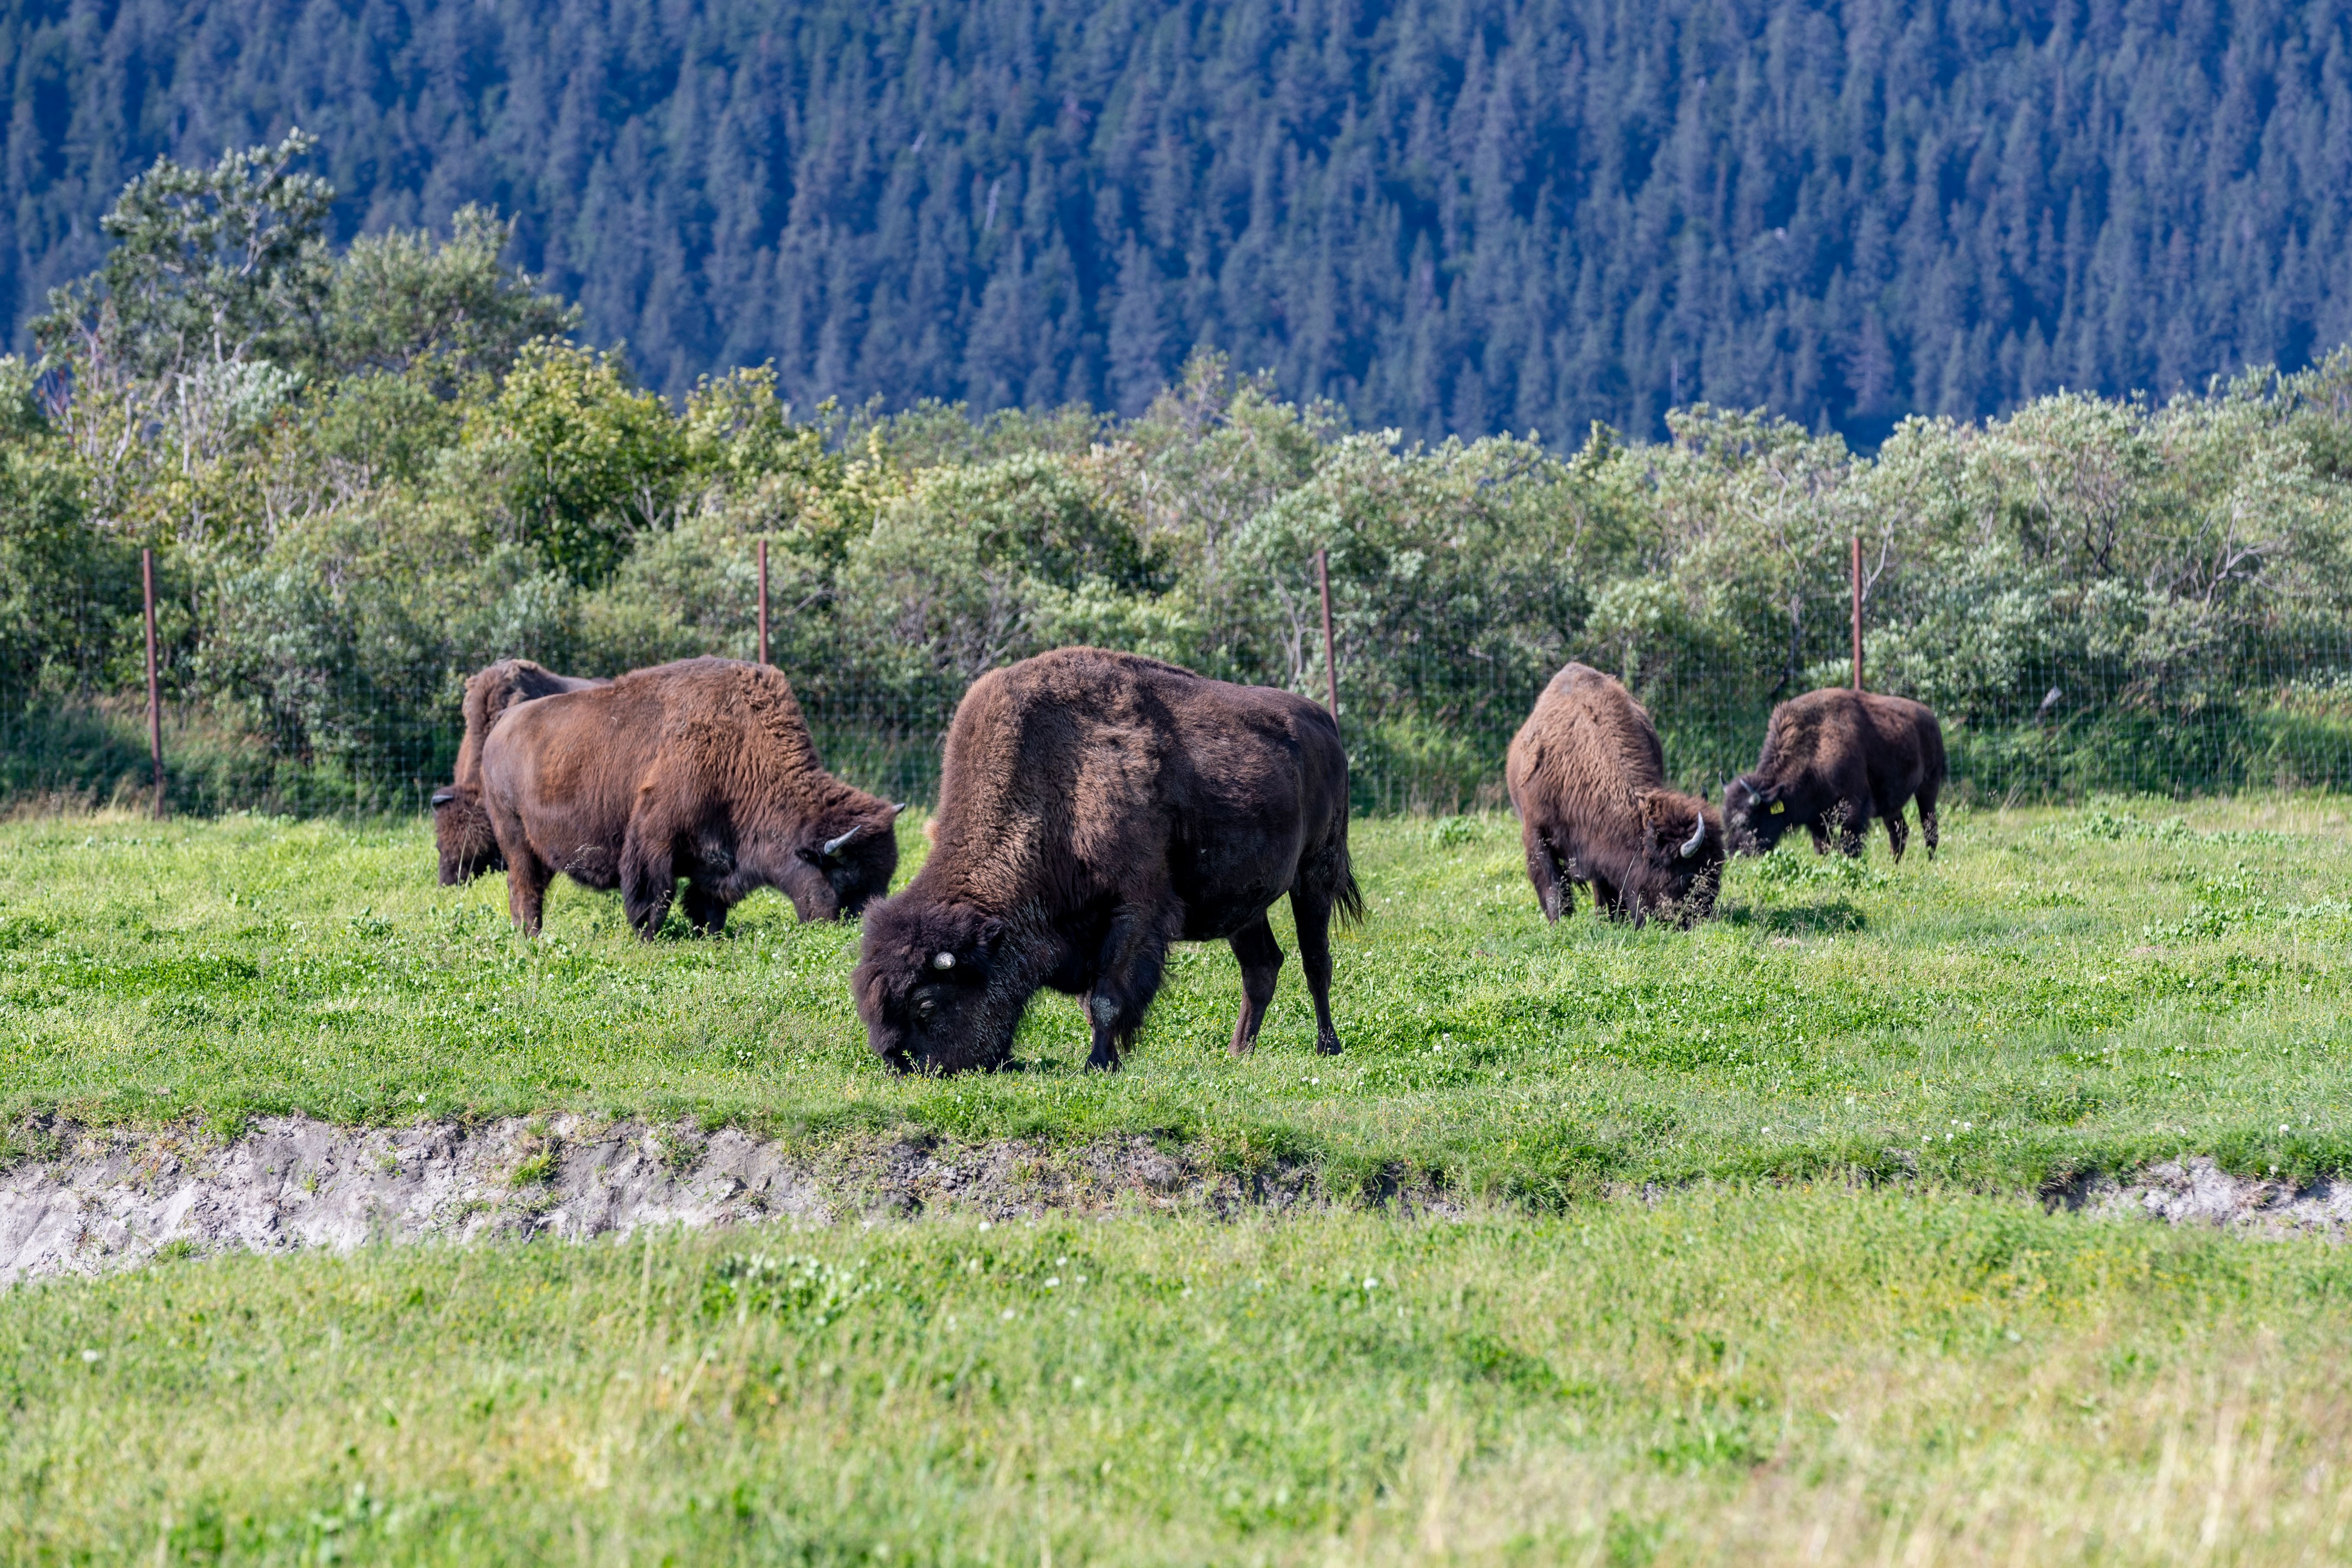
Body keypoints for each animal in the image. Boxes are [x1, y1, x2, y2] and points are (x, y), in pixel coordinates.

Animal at [479, 656, 901, 936]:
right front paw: (646, 935)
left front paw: (709, 932)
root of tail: (500, 728)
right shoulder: (655, 837)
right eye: (846, 877)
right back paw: (531, 937)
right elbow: (653, 894)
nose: (860, 930)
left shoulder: (717, 858)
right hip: (516, 839)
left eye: (886, 878)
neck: (743, 752)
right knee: (525, 887)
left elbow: (706, 900)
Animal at [853, 647, 1360, 1074]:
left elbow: (1108, 997)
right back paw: (1239, 1051)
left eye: (926, 1004)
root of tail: (1324, 723)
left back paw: (1328, 1047)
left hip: (1316, 872)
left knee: (1317, 961)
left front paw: (1099, 1063)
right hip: (1244, 903)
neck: (1056, 782)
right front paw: (1108, 1056)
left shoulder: (1135, 909)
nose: (904, 1066)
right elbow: (1094, 998)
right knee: (1261, 967)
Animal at [1505, 662, 1725, 925]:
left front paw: (1611, 918)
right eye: (1688, 876)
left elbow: (1603, 882)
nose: (1701, 921)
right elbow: (1552, 884)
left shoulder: (1599, 841)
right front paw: (1559, 922)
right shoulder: (1537, 833)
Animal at [1724, 688, 1945, 860]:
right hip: (1892, 805)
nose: (1735, 855)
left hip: (1929, 787)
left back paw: (1930, 862)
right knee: (1899, 831)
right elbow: (1823, 847)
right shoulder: (1818, 821)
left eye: (1749, 822)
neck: (1815, 746)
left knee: (1929, 828)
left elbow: (1849, 845)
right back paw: (1895, 865)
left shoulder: (1854, 809)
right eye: (1727, 823)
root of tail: (1931, 717)